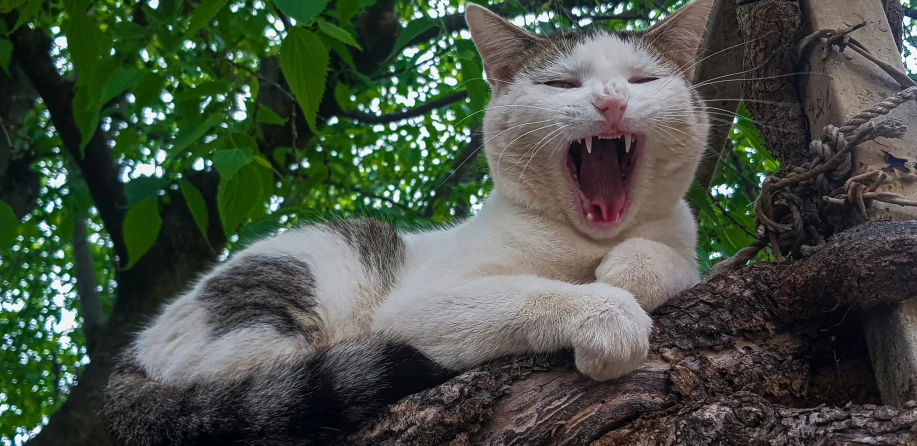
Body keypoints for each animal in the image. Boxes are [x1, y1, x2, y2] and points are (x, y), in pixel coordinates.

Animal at [102, 1, 716, 444]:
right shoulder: (426, 301)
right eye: (561, 84)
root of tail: (133, 352)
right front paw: (606, 314)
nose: (611, 101)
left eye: (641, 80)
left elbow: (676, 262)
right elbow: (534, 293)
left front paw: (631, 269)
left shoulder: (680, 243)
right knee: (247, 389)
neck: (585, 243)